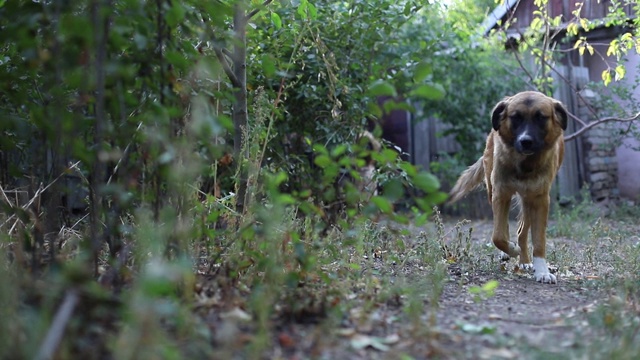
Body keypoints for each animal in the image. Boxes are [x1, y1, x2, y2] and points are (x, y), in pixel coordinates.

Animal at [448, 90, 568, 284]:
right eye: (515, 117)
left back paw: (525, 261)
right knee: (505, 228)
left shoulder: (540, 200)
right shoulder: (500, 193)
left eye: (541, 118)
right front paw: (510, 249)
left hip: (528, 201)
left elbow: (539, 240)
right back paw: (509, 252)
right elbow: (498, 235)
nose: (526, 141)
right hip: (494, 193)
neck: (524, 165)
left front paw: (541, 270)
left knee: (522, 232)